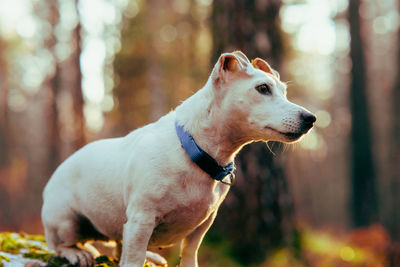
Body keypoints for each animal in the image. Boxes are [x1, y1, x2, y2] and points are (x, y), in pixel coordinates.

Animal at [40, 50, 316, 267]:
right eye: (262, 89)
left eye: (284, 92)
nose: (311, 118)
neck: (195, 150)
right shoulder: (141, 220)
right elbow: (132, 260)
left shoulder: (202, 225)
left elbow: (190, 253)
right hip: (65, 221)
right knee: (59, 245)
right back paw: (75, 253)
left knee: (119, 248)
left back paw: (150, 256)